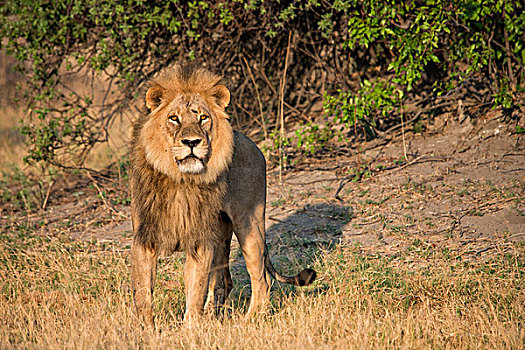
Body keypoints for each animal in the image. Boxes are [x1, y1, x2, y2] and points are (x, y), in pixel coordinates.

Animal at [129, 64, 316, 326]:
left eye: (203, 117)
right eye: (174, 118)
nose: (191, 142)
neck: (181, 180)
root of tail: (252, 143)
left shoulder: (199, 241)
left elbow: (195, 289)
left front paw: (191, 328)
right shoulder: (145, 237)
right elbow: (143, 290)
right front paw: (145, 328)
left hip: (249, 224)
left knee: (262, 280)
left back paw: (249, 321)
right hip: (219, 232)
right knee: (223, 281)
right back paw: (214, 316)